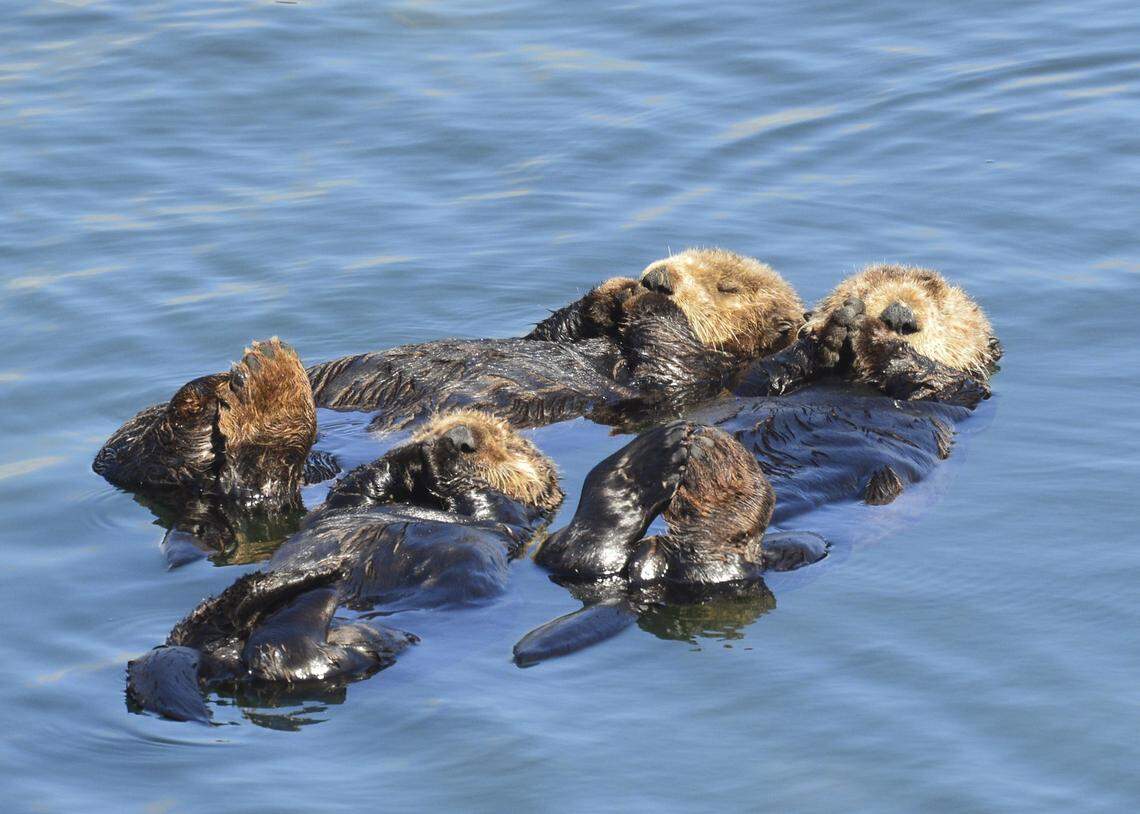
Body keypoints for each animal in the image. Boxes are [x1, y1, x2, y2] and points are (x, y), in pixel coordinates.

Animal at [127, 410, 563, 722]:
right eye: (439, 422)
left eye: (508, 444)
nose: (458, 438)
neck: (425, 502)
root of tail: (218, 657)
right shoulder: (346, 500)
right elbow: (360, 483)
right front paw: (411, 453)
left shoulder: (509, 518)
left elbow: (487, 501)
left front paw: (440, 465)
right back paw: (297, 581)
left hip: (347, 651)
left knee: (283, 656)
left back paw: (317, 583)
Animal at [306, 249, 804, 433]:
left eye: (728, 287)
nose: (657, 277)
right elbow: (551, 331)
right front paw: (618, 290)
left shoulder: (703, 377)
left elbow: (668, 365)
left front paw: (648, 300)